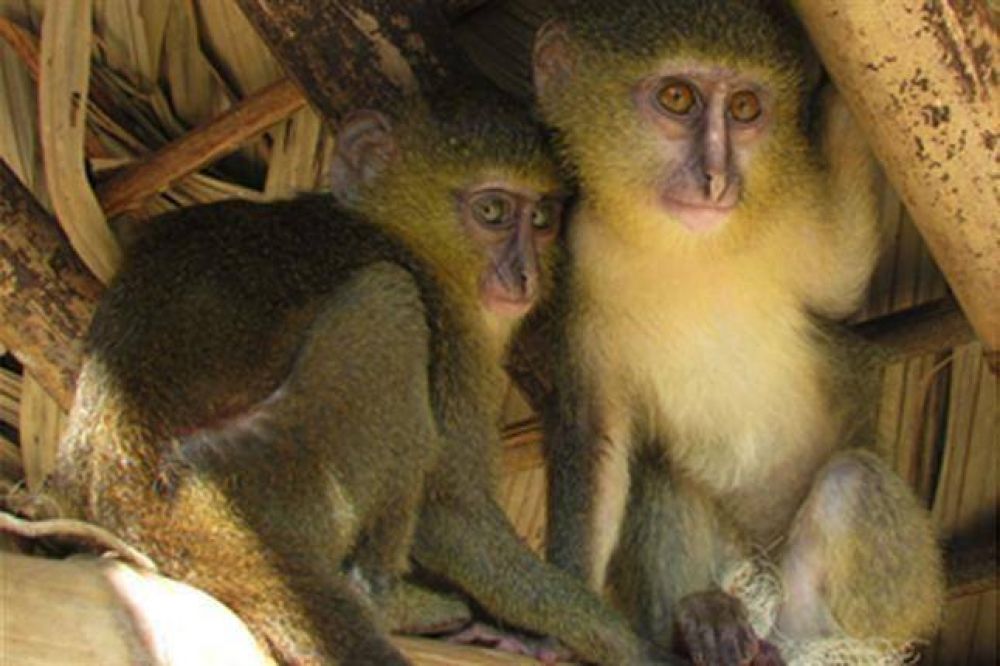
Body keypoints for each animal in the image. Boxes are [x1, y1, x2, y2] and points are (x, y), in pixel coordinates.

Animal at [46, 86, 672, 665]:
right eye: (493, 212)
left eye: (541, 219)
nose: (523, 273)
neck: (400, 232)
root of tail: (133, 486)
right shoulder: (450, 331)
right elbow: (451, 513)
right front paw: (615, 638)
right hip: (276, 474)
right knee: (386, 303)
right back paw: (386, 602)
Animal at [528, 1, 945, 664]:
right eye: (677, 97)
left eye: (745, 108)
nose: (716, 178)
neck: (690, 248)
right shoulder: (577, 257)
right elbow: (597, 436)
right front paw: (564, 626)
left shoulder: (793, 211)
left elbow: (846, 279)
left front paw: (841, 96)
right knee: (662, 473)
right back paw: (701, 622)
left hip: (901, 601)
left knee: (853, 482)